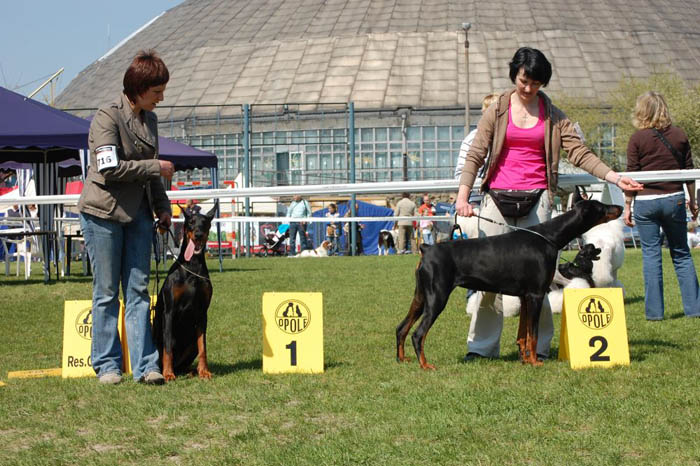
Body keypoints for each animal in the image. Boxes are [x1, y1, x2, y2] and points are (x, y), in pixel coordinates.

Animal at [153, 206, 216, 381]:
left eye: (205, 223)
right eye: (191, 222)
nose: (198, 234)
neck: (192, 265)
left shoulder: (202, 312)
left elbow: (203, 347)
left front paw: (204, 371)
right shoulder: (169, 311)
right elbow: (168, 348)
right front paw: (168, 374)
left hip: (191, 344)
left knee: (185, 362)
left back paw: (191, 371)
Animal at [396, 200, 622, 369]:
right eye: (602, 207)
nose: (620, 208)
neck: (550, 237)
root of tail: (426, 249)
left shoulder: (525, 296)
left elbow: (524, 334)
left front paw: (525, 359)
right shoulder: (536, 294)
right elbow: (533, 334)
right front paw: (534, 362)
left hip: (420, 297)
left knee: (401, 328)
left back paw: (402, 358)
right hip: (437, 297)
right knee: (418, 334)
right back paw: (425, 365)